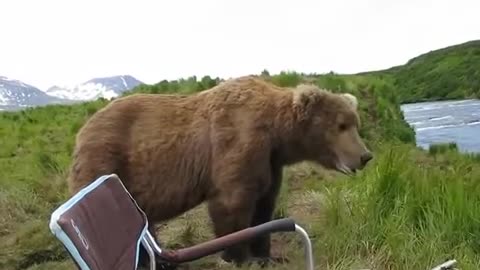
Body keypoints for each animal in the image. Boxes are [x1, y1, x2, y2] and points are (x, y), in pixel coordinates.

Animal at [67, 75, 374, 266]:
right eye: (341, 125)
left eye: (354, 123)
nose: (365, 156)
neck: (276, 134)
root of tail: (82, 130)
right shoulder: (237, 143)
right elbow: (232, 204)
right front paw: (238, 256)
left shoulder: (270, 162)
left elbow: (264, 205)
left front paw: (267, 254)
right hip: (107, 161)